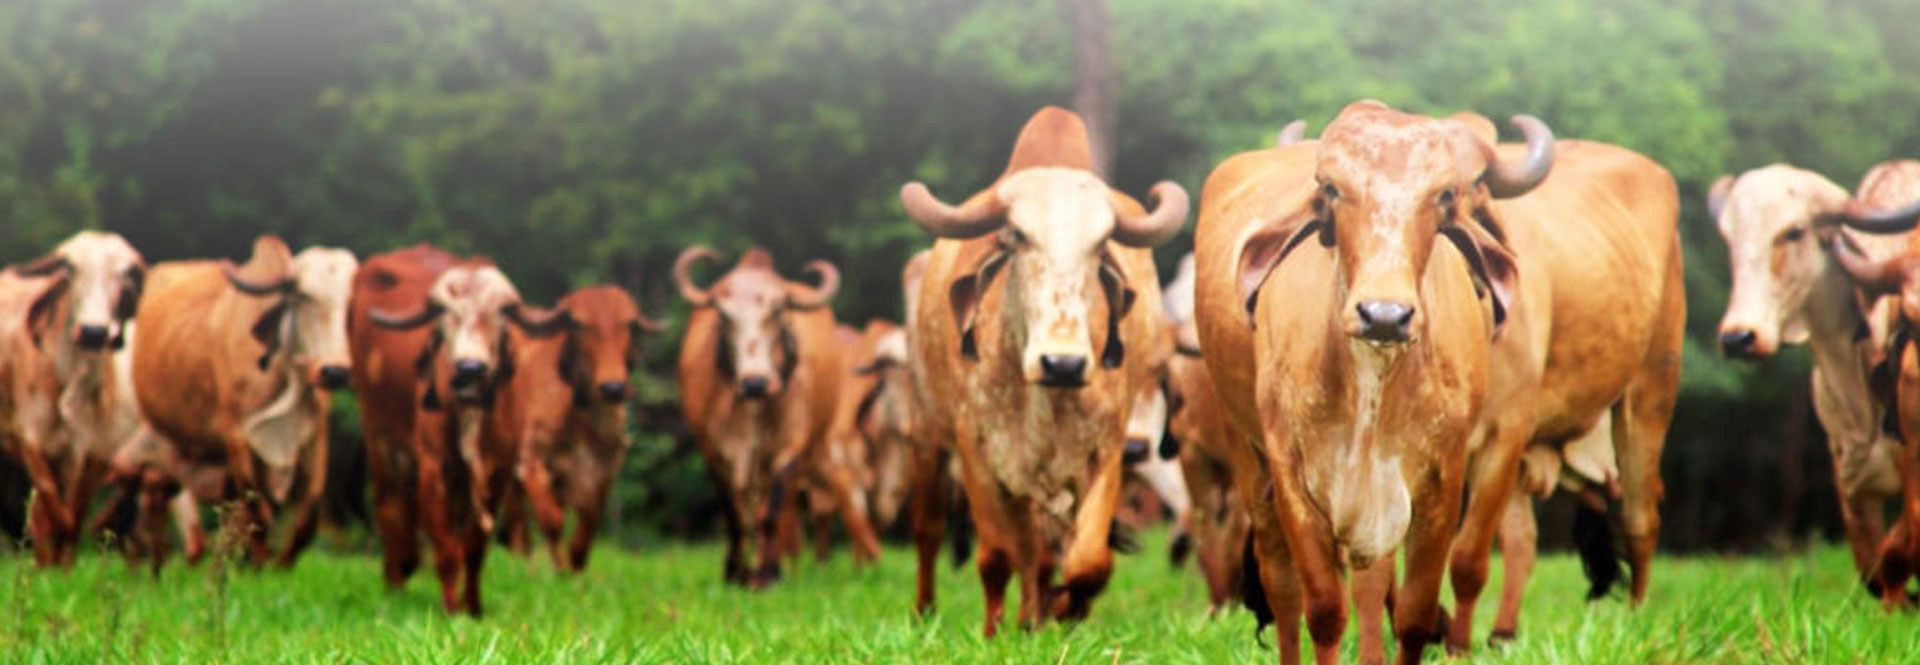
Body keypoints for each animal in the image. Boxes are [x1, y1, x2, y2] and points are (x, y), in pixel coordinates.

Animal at [0, 231, 145, 566]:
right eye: (69, 267)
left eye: (126, 272)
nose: (93, 332)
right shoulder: (32, 439)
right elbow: (51, 512)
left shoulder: (87, 451)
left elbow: (71, 518)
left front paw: (61, 567)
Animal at [111, 235, 357, 568]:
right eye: (303, 297)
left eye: (351, 302)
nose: (335, 372)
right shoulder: (235, 433)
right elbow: (257, 509)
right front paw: (261, 562)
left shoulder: (313, 435)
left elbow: (306, 516)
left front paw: (277, 564)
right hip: (154, 438)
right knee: (149, 490)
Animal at [511, 285, 663, 573]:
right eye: (580, 324)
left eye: (628, 323)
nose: (613, 387)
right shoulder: (532, 463)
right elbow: (552, 520)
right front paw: (560, 572)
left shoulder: (603, 471)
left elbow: (587, 526)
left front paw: (576, 569)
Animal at [674, 245, 844, 587]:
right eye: (723, 314)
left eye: (778, 311)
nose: (755, 382)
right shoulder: (715, 454)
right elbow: (734, 514)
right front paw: (735, 573)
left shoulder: (787, 451)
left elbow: (772, 513)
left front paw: (766, 574)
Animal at [900, 106, 1185, 635]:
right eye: (1017, 237)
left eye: (1101, 245)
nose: (1064, 363)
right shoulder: (976, 448)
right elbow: (996, 556)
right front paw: (993, 633)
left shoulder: (1106, 448)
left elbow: (1088, 560)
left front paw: (1062, 608)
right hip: (926, 433)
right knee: (929, 532)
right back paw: (927, 611)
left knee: (1040, 550)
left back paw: (1035, 615)